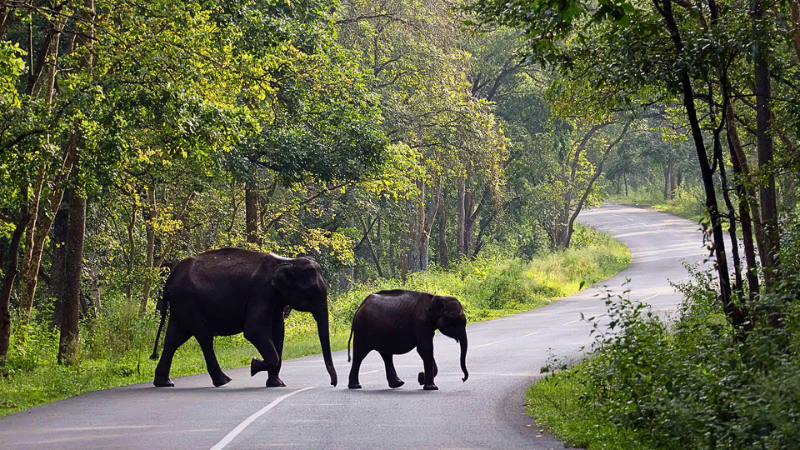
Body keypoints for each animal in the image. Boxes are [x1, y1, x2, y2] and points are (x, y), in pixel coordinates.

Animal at [150, 248, 338, 388]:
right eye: (310, 294)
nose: (333, 384)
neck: (287, 261)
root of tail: (168, 284)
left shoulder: (275, 298)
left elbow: (278, 330)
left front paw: (277, 384)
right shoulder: (260, 292)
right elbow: (254, 331)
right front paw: (254, 365)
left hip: (181, 305)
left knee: (174, 338)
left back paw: (164, 383)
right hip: (188, 301)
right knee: (203, 336)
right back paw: (223, 381)